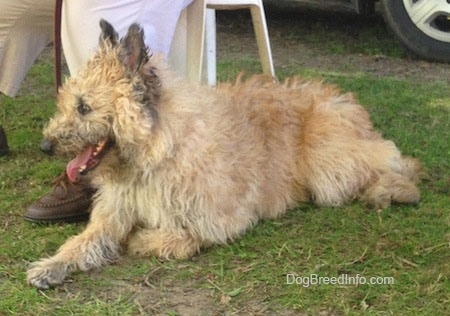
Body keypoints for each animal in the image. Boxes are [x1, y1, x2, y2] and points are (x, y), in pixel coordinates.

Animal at [28, 20, 422, 292]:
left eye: (84, 107)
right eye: (69, 102)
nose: (46, 145)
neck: (153, 152)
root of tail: (343, 100)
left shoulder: (222, 218)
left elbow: (182, 237)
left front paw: (143, 239)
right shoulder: (112, 215)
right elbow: (82, 242)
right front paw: (52, 264)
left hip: (328, 165)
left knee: (390, 163)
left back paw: (390, 190)